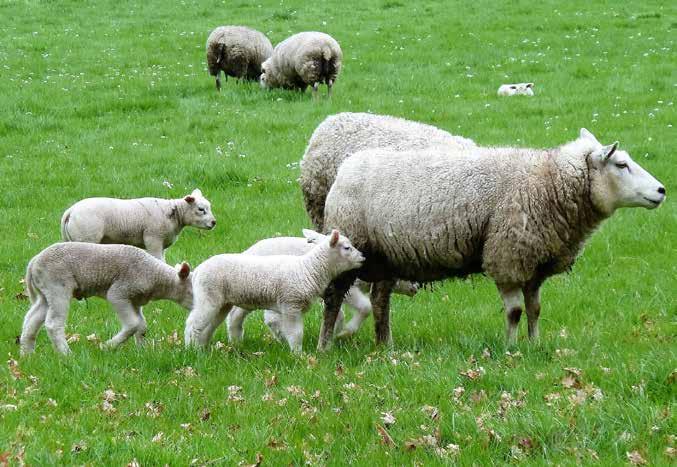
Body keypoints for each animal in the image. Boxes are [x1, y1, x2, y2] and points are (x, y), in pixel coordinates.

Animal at [19, 243, 193, 356]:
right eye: (192, 292)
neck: (155, 276)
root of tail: (34, 262)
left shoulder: (135, 300)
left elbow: (142, 326)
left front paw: (142, 351)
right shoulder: (119, 293)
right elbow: (133, 324)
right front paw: (107, 346)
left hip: (45, 291)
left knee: (31, 320)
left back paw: (27, 353)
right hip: (57, 286)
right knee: (53, 324)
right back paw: (66, 354)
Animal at [60, 190, 215, 264]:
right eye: (201, 209)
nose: (214, 222)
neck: (174, 214)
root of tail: (71, 211)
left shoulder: (161, 244)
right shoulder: (153, 240)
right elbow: (159, 261)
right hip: (86, 238)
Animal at [185, 229, 364, 352]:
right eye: (347, 248)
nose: (363, 257)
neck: (308, 269)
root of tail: (198, 270)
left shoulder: (290, 307)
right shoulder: (291, 305)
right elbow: (296, 333)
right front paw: (298, 354)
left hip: (222, 302)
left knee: (210, 325)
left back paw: (202, 348)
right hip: (208, 297)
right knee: (193, 323)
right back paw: (190, 349)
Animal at [224, 232, 418, 346]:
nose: (416, 287)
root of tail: (247, 252)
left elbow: (338, 314)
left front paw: (334, 333)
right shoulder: (349, 288)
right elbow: (364, 307)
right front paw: (345, 333)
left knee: (238, 314)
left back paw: (236, 340)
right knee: (266, 317)